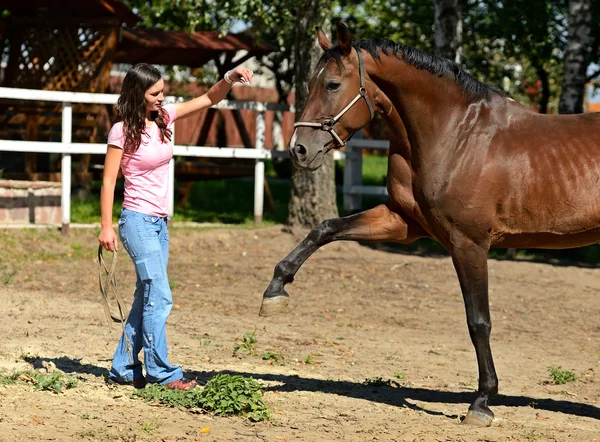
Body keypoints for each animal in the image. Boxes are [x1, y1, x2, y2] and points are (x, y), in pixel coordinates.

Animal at [260, 22, 600, 426]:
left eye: (331, 84)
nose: (299, 149)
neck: (456, 136)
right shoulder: (403, 222)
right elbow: (324, 228)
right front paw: (275, 289)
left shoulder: (469, 243)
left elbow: (478, 322)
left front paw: (481, 402)